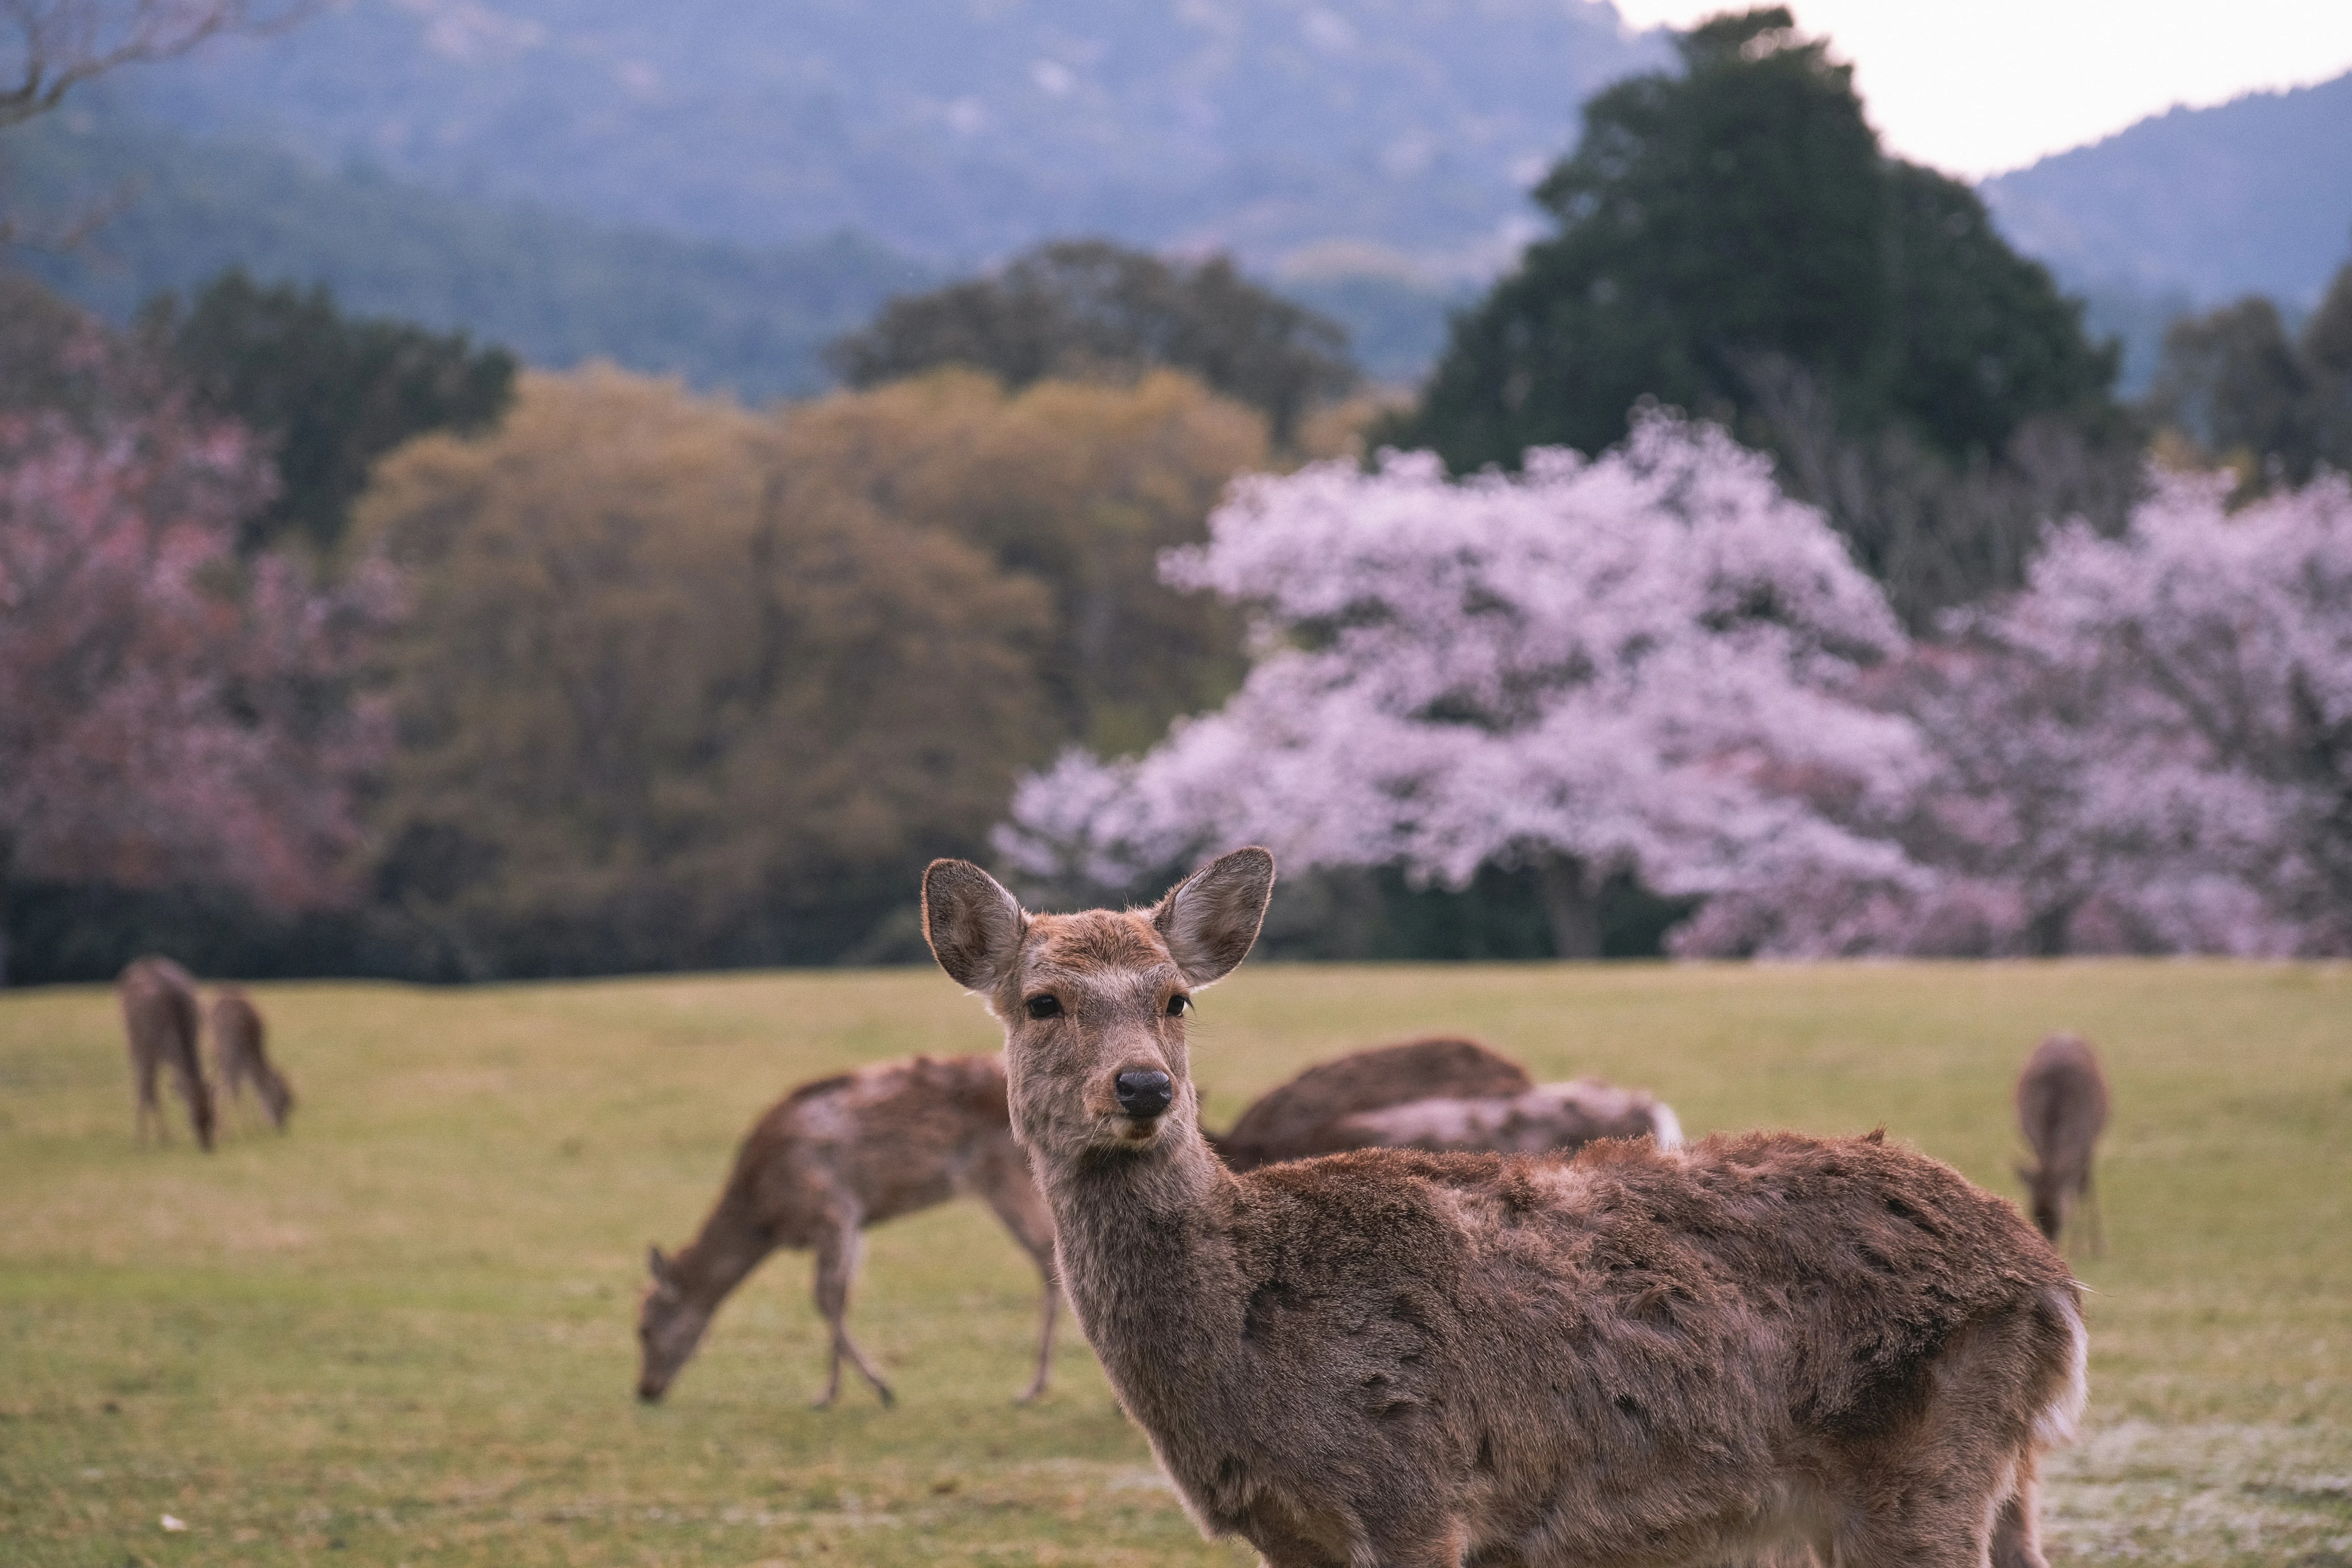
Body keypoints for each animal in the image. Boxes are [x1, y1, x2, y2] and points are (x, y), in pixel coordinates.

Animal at [118, 956, 214, 1151]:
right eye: (194, 1119)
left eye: (213, 1118)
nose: (207, 1147)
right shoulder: (149, 1045)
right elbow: (148, 1088)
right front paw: (144, 1139)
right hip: (133, 1038)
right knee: (144, 1084)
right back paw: (150, 1136)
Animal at [209, 987, 295, 1132]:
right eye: (283, 1098)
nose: (281, 1127)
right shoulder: (244, 1060)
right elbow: (244, 1086)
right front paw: (253, 1126)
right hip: (230, 1051)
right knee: (228, 1086)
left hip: (219, 1051)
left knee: (220, 1085)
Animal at [637, 1052, 1061, 1410]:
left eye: (643, 1327)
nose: (644, 1391)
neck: (764, 1216)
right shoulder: (854, 1224)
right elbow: (842, 1296)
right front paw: (837, 1391)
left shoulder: (831, 1210)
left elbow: (825, 1297)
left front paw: (864, 1389)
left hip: (1006, 1176)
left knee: (1048, 1256)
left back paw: (1032, 1388)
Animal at [924, 847, 2088, 1568]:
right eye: (1042, 1002)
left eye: (1176, 999)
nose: (1144, 1088)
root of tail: (2051, 1281)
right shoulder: (1287, 1530)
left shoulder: (1414, 1485)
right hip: (1999, 1473)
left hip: (1923, 1465)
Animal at [2016, 1032, 2108, 1252]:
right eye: (2033, 1215)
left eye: (2060, 1216)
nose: (2051, 1248)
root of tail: (2064, 1033)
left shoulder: (2087, 1141)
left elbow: (2081, 1189)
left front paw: (2085, 1247)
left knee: (2086, 1183)